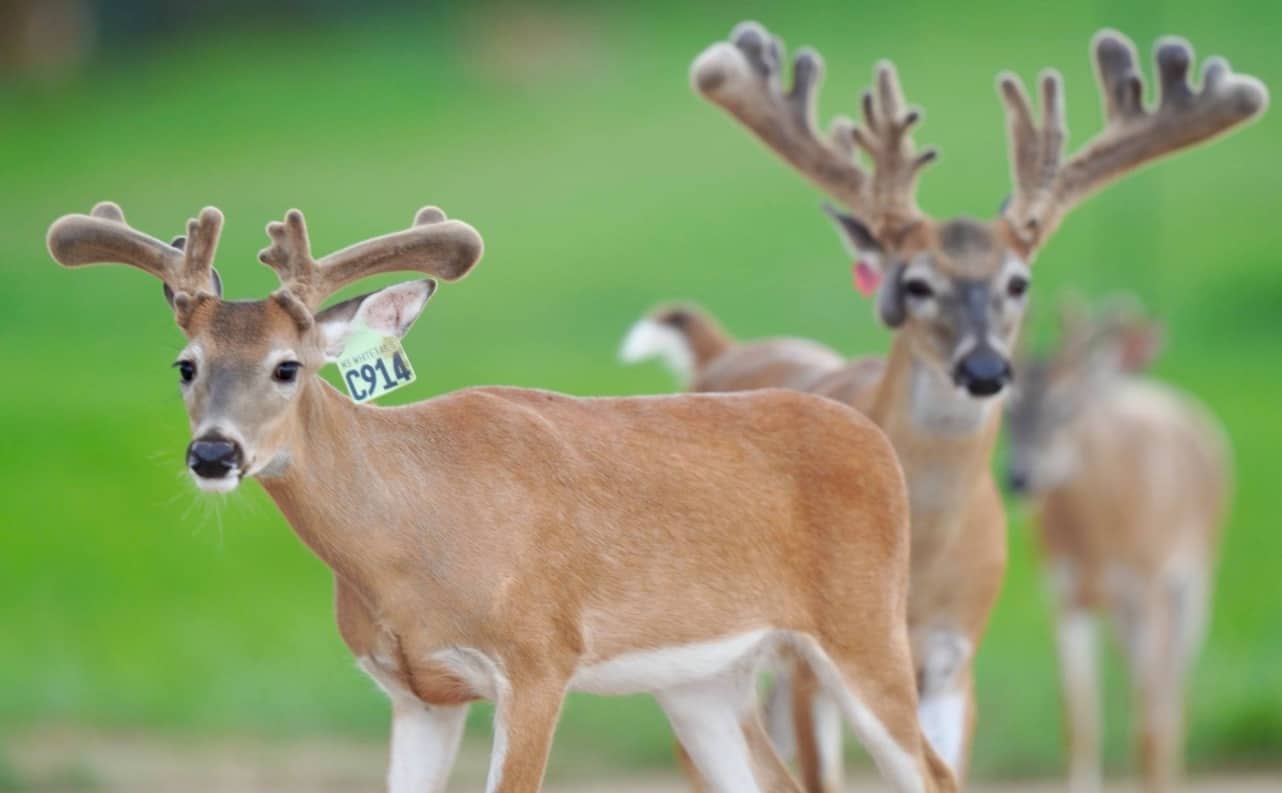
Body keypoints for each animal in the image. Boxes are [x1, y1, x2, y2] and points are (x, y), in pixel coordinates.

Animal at [45, 201, 959, 793]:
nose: (214, 453)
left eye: (287, 366)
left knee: (936, 771)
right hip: (706, 679)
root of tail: (870, 435)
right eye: (185, 364)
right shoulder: (413, 693)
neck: (412, 534)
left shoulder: (537, 659)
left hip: (862, 624)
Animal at [1005, 296, 1230, 793]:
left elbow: (1150, 727)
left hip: (1193, 582)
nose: (1019, 477)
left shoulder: (1149, 585)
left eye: (1066, 407)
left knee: (1171, 698)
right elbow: (1079, 722)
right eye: (1006, 410)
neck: (1099, 536)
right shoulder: (1066, 596)